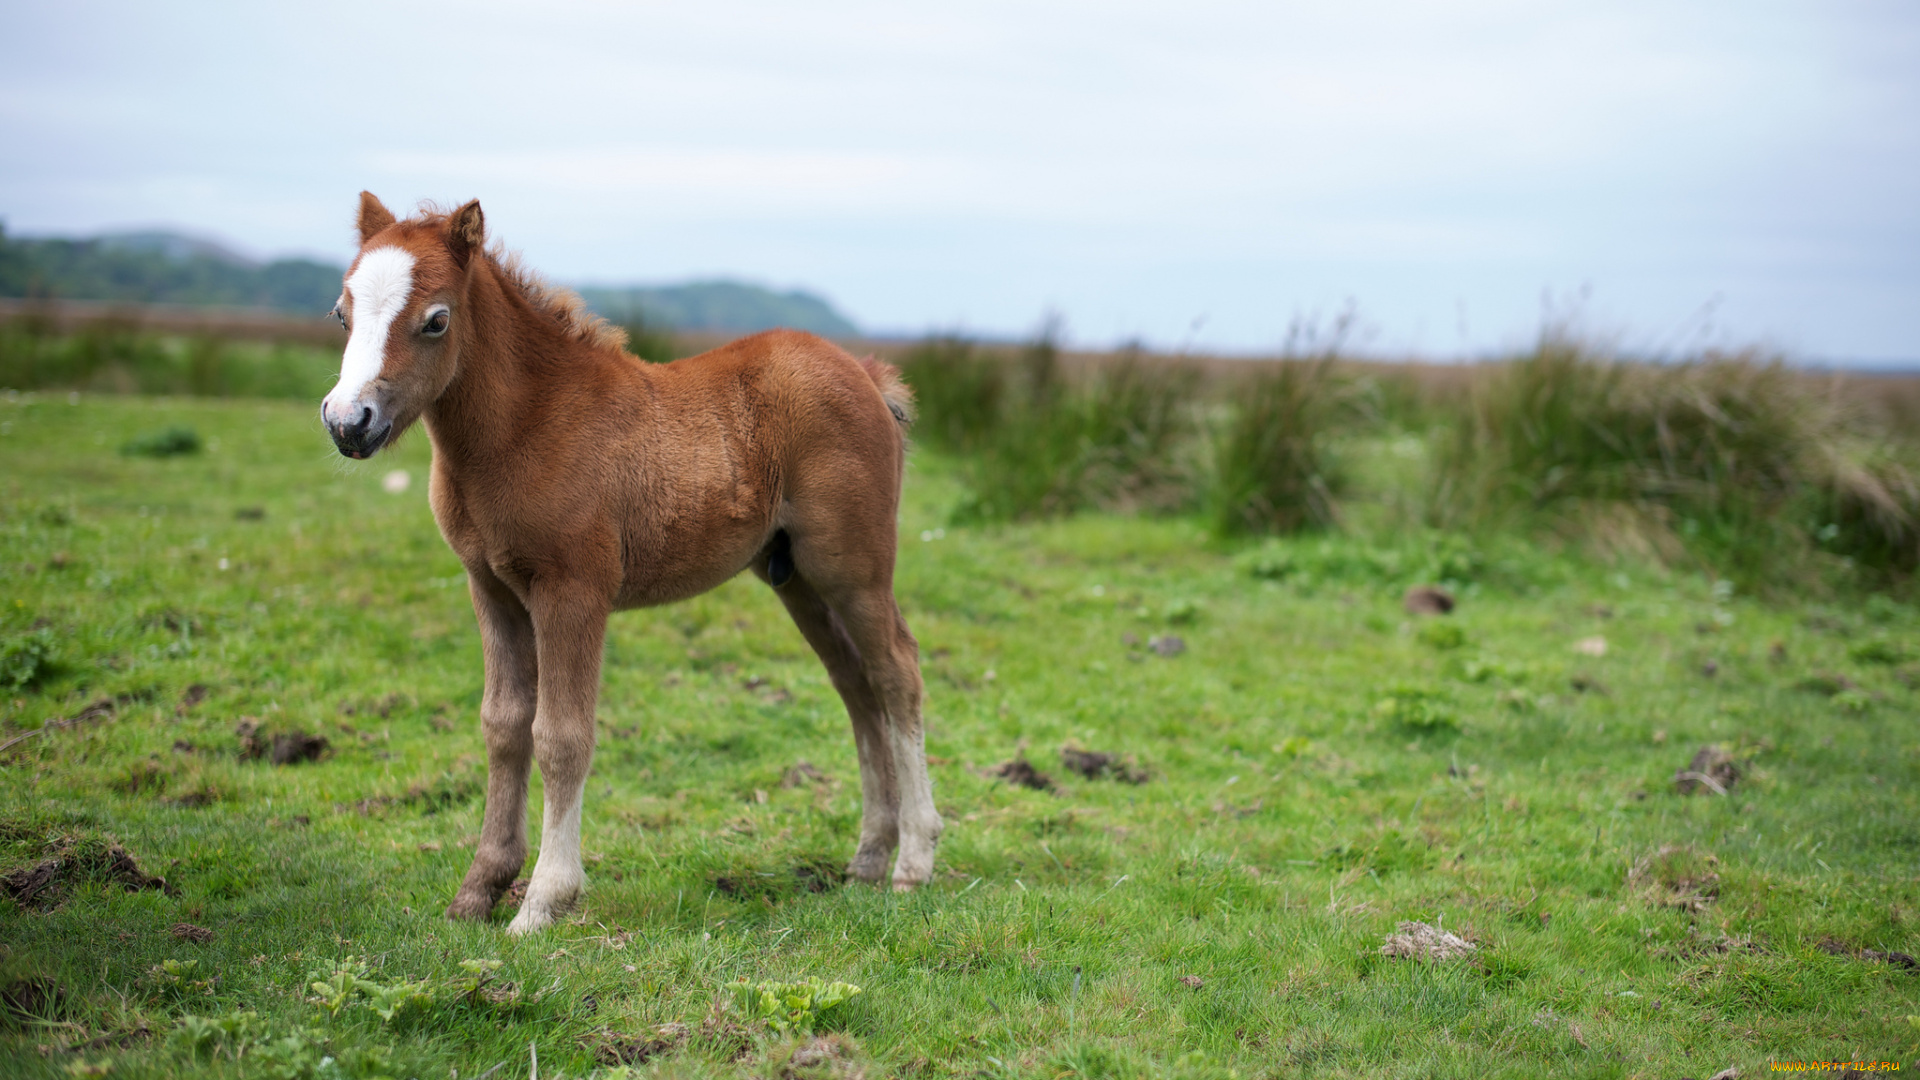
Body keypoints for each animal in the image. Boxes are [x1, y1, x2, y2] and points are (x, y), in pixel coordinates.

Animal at [322, 191, 944, 926]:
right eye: (342, 312)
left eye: (436, 320)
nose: (348, 422)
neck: (528, 425)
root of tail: (867, 376)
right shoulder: (490, 588)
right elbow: (503, 726)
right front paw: (478, 890)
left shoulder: (573, 591)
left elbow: (562, 736)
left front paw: (543, 902)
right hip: (797, 580)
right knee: (856, 686)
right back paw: (868, 859)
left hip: (854, 569)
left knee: (897, 673)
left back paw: (913, 862)